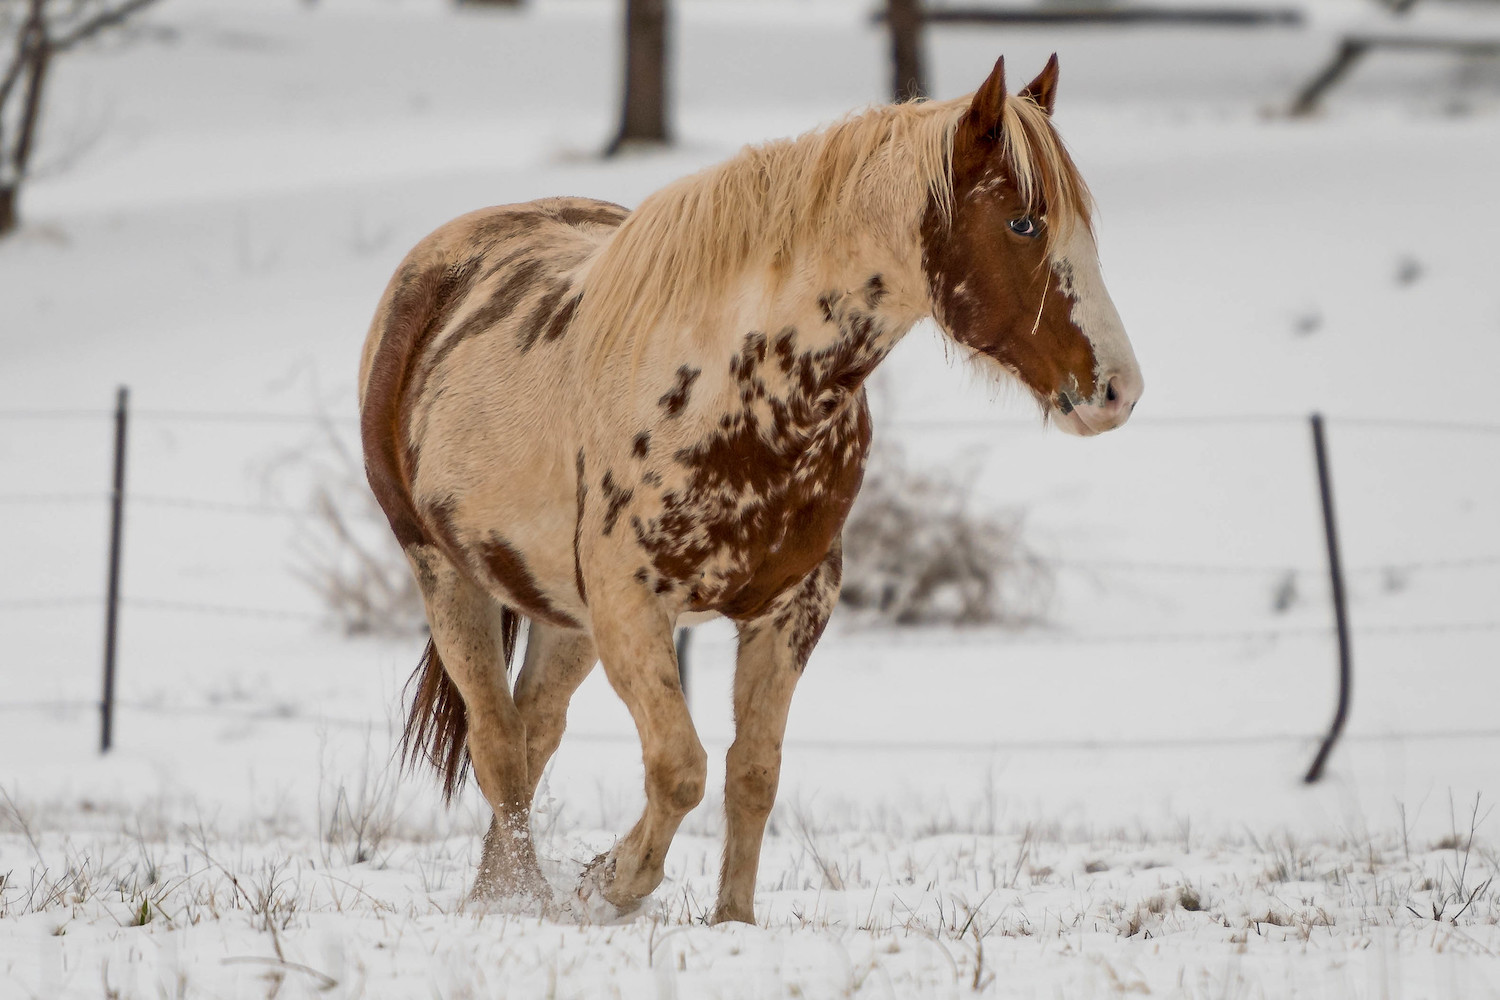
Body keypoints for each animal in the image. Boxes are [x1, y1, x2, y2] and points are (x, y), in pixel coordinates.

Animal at [358, 54, 1142, 924]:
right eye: (1024, 224)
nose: (1118, 391)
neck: (739, 392)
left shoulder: (791, 607)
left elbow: (752, 774)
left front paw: (729, 921)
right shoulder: (634, 607)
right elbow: (680, 768)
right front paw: (609, 881)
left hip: (562, 616)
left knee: (534, 734)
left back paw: (507, 893)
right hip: (446, 574)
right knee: (499, 746)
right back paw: (519, 900)